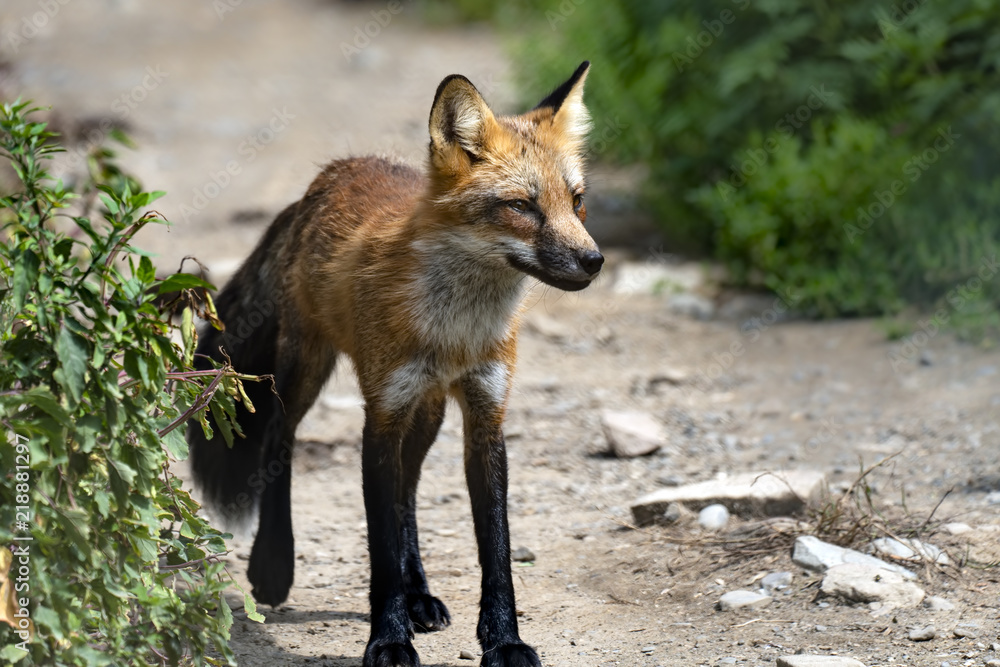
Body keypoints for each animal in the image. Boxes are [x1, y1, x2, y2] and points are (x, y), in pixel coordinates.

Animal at [188, 61, 603, 667]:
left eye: (576, 201)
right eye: (521, 206)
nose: (594, 261)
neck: (454, 334)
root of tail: (332, 172)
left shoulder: (485, 417)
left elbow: (495, 550)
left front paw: (503, 640)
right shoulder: (380, 416)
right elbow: (380, 547)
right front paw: (388, 638)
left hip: (427, 410)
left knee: (407, 491)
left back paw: (420, 594)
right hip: (307, 367)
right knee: (279, 440)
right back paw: (274, 562)